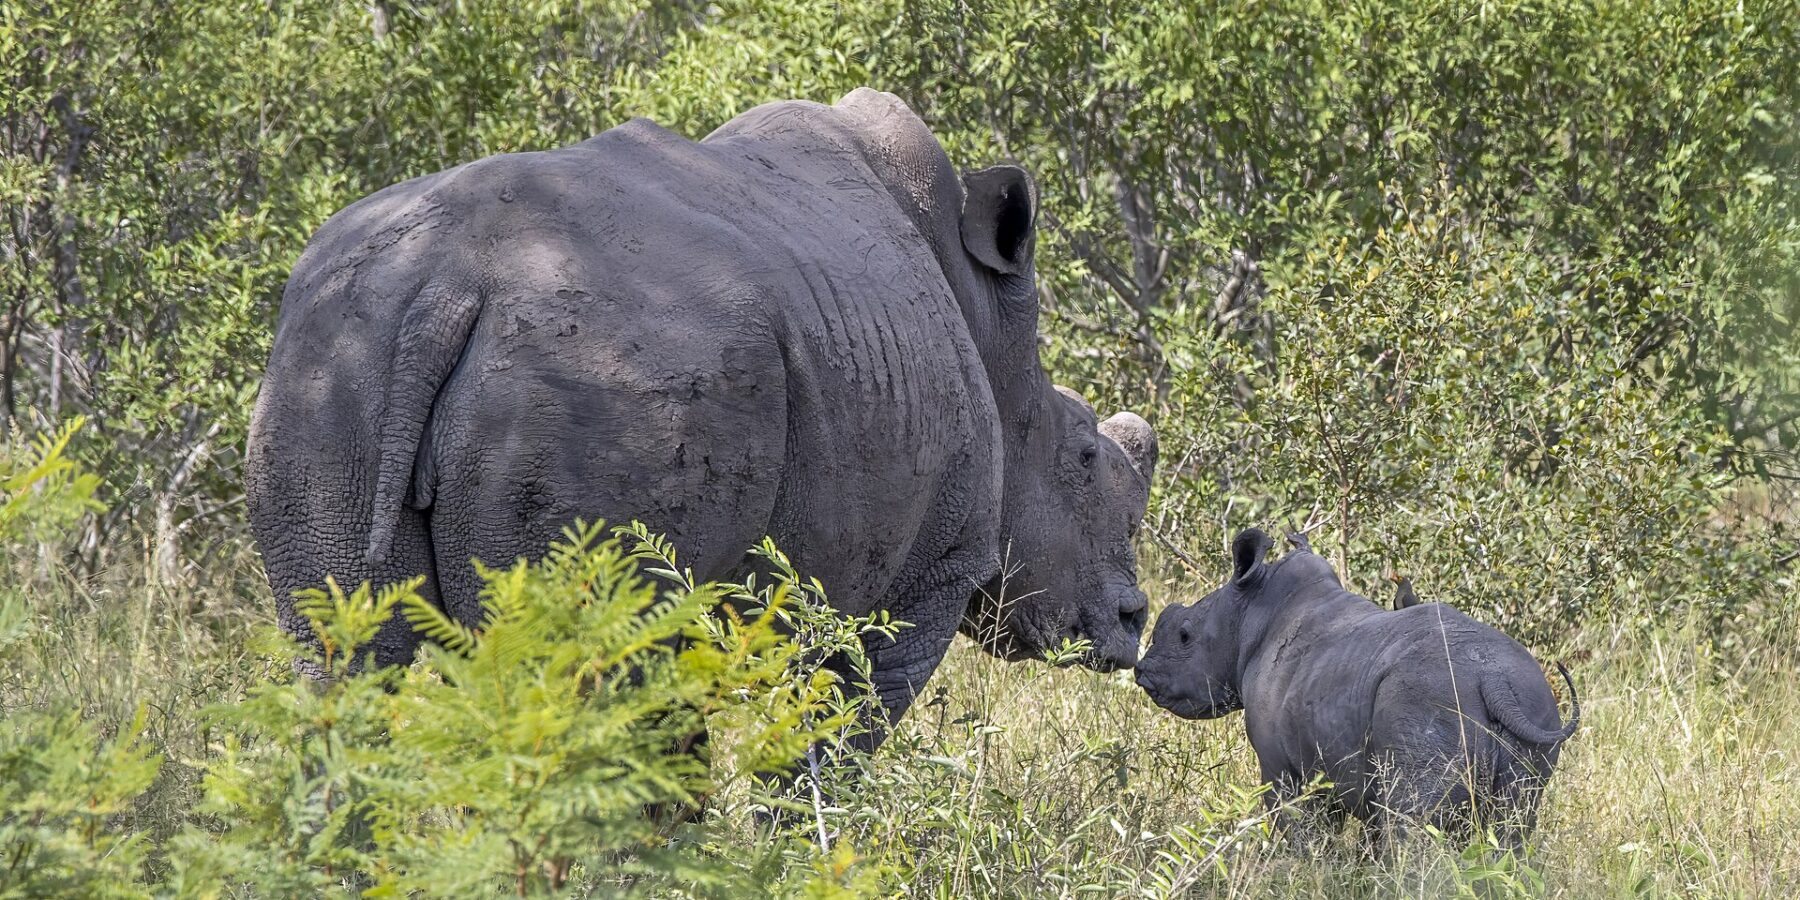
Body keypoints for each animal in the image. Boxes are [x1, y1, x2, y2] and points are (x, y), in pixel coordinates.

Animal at [245, 89, 1157, 746]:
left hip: (335, 350)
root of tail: (445, 284)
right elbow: (835, 739)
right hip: (611, 376)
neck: (993, 334)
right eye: (1083, 458)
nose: (1132, 623)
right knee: (597, 683)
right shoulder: (920, 580)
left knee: (342, 668)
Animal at [1135, 529, 1578, 848]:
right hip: (1533, 701)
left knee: (1411, 823)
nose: (1143, 671)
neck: (1250, 615)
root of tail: (1494, 681)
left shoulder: (1283, 767)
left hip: (1426, 699)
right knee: (1513, 824)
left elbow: (1299, 830)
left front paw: (1299, 871)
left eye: (1185, 636)